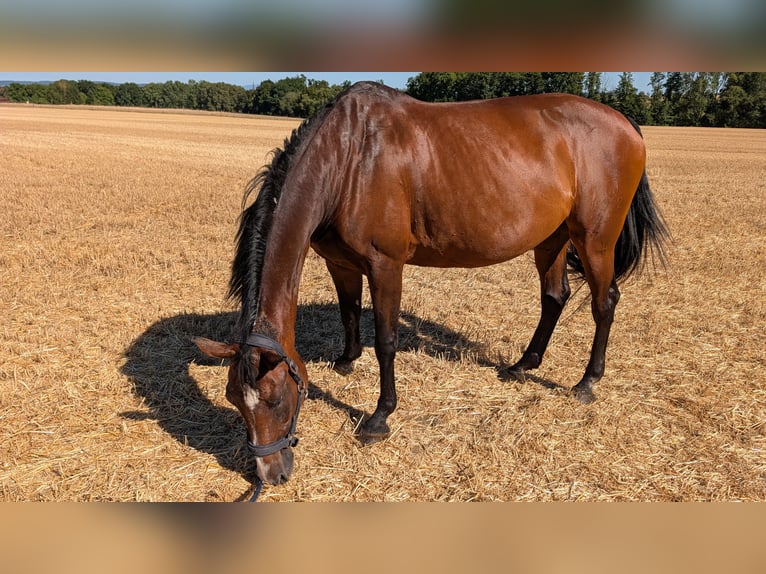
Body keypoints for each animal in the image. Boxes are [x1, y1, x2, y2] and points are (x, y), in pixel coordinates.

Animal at [194, 81, 668, 487]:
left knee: (604, 302)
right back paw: (522, 365)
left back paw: (587, 382)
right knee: (555, 297)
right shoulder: (340, 263)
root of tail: (627, 124)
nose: (270, 474)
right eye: (234, 399)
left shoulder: (386, 265)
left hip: (595, 240)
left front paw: (380, 417)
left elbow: (386, 340)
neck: (350, 157)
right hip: (552, 237)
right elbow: (349, 312)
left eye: (276, 400)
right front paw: (347, 360)